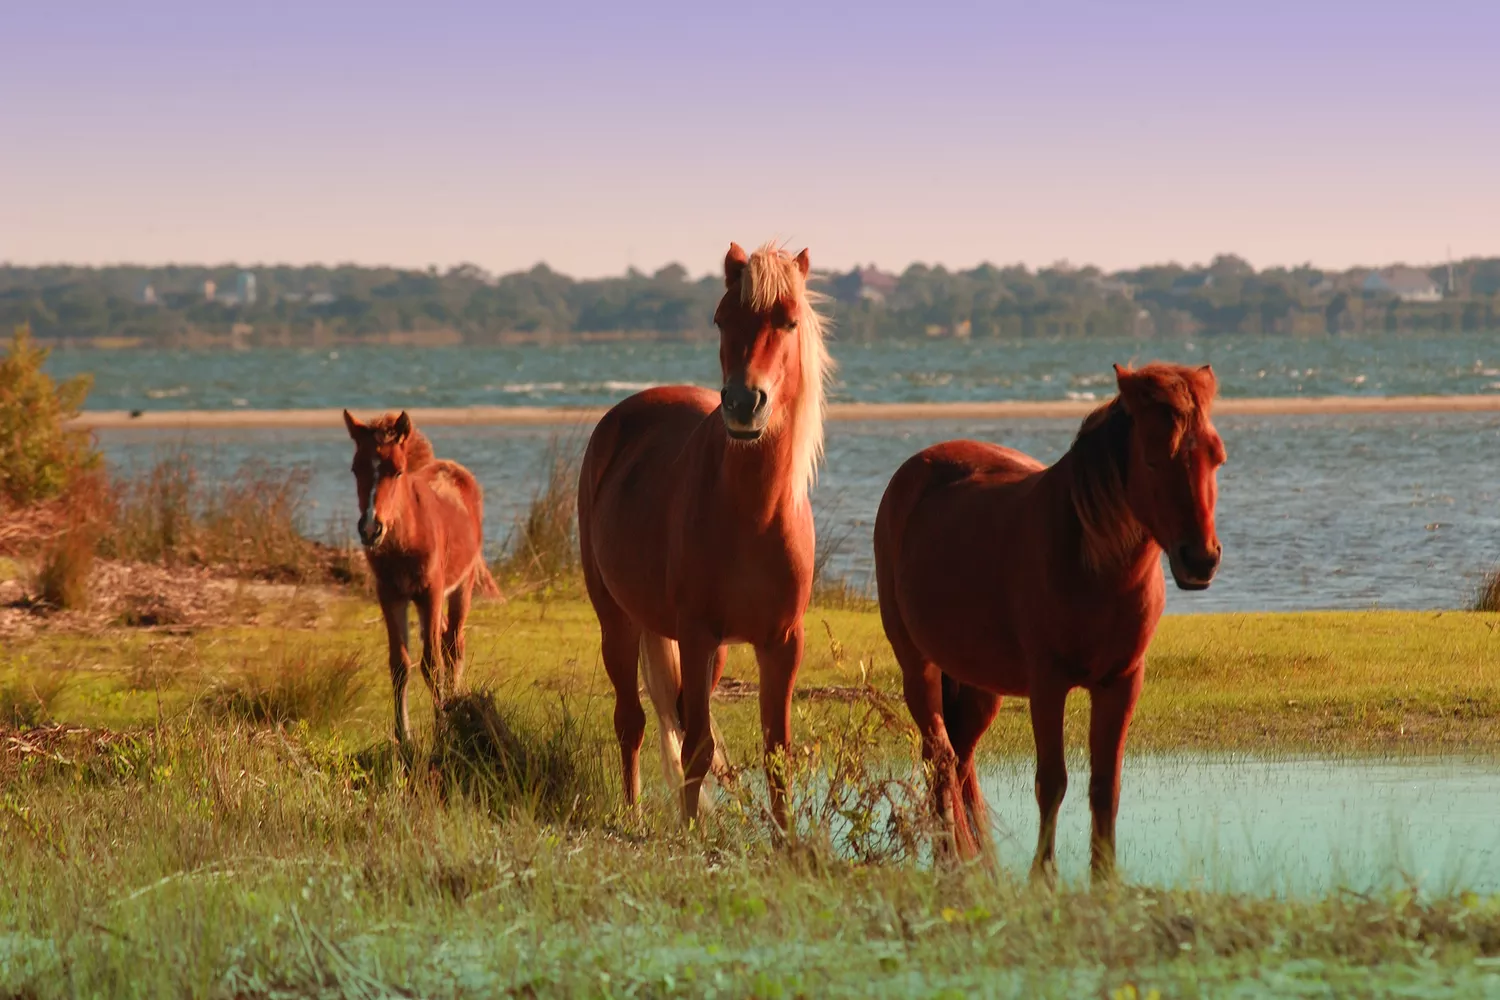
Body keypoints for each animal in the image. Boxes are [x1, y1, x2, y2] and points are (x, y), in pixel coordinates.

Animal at [343, 410, 500, 746]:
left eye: (397, 471)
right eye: (355, 468)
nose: (370, 528)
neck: (405, 539)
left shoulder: (431, 591)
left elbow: (432, 663)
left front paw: (442, 730)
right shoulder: (390, 595)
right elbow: (400, 663)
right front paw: (404, 736)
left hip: (460, 586)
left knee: (454, 643)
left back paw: (456, 701)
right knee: (447, 638)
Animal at [578, 242, 834, 829]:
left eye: (789, 320)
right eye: (721, 318)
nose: (743, 403)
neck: (754, 515)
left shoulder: (782, 643)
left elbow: (776, 750)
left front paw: (787, 839)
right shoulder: (695, 634)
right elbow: (695, 745)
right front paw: (693, 834)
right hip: (618, 620)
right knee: (632, 720)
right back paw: (634, 815)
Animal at [873, 362, 1225, 882]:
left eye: (1216, 457)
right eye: (1152, 459)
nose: (1200, 560)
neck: (1094, 563)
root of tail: (912, 472)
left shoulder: (1122, 682)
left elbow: (1105, 785)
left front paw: (1105, 876)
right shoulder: (1047, 683)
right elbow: (1052, 781)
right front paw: (1043, 874)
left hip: (980, 685)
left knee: (961, 759)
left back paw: (977, 860)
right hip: (919, 667)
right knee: (940, 756)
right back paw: (951, 861)